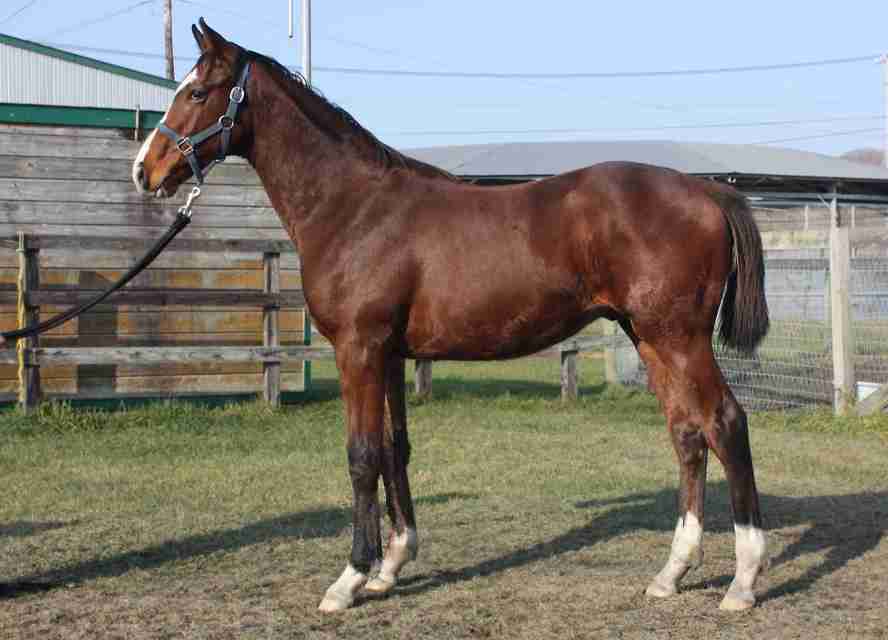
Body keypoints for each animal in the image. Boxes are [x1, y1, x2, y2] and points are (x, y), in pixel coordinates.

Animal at [133, 20, 770, 613]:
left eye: (197, 92)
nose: (146, 170)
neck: (356, 208)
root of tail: (707, 192)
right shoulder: (390, 355)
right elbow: (394, 448)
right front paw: (392, 565)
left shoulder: (358, 349)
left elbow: (361, 456)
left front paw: (350, 578)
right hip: (650, 338)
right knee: (688, 434)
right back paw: (672, 573)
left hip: (680, 338)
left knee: (725, 423)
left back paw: (742, 581)